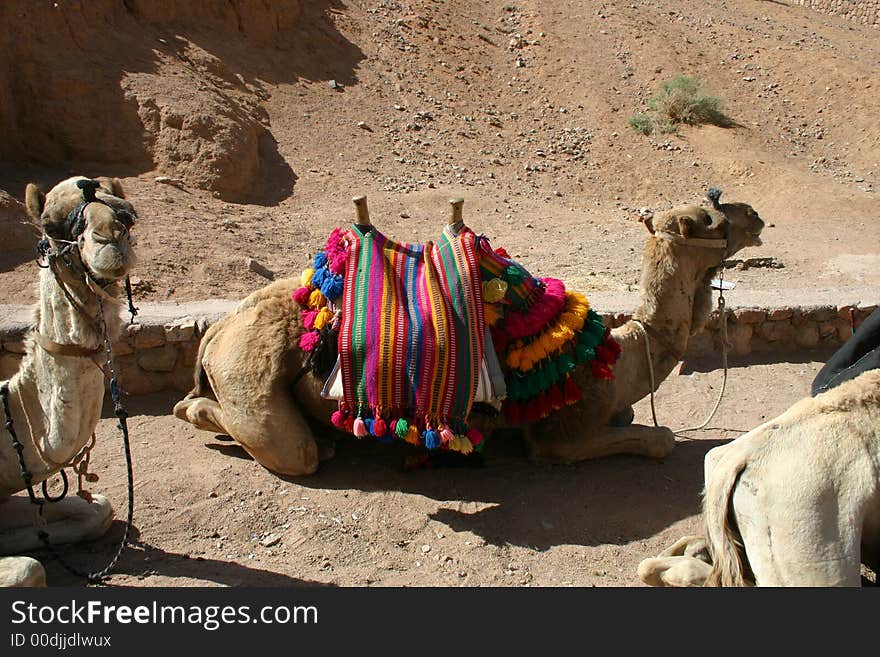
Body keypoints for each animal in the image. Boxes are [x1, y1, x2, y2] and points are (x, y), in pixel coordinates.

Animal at [175, 192, 768, 474]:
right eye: (710, 220)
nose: (757, 216)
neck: (620, 350)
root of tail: (219, 328)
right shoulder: (561, 434)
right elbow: (660, 441)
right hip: (251, 368)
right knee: (289, 447)